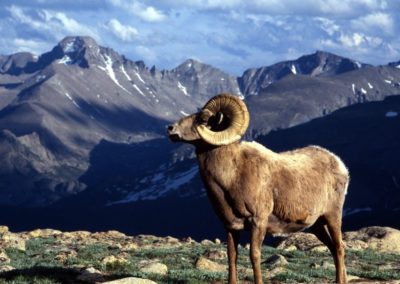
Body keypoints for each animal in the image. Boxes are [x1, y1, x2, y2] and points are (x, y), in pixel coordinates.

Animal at [167, 94, 348, 282]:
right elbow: (232, 256)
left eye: (203, 119)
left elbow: (254, 255)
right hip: (317, 225)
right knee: (333, 248)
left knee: (339, 247)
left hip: (332, 216)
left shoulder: (258, 222)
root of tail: (340, 165)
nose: (170, 129)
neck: (232, 176)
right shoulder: (231, 227)